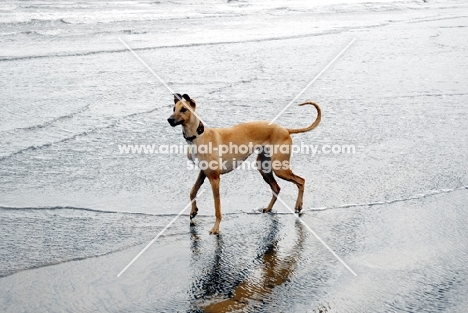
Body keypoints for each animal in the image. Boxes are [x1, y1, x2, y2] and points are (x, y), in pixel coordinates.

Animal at [168, 93, 322, 234]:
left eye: (184, 109)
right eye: (174, 108)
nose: (169, 120)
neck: (198, 135)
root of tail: (285, 129)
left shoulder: (215, 179)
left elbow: (217, 208)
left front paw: (216, 228)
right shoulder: (203, 173)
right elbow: (192, 191)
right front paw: (193, 212)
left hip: (279, 168)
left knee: (301, 181)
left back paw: (298, 206)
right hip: (263, 167)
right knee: (276, 187)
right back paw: (269, 208)